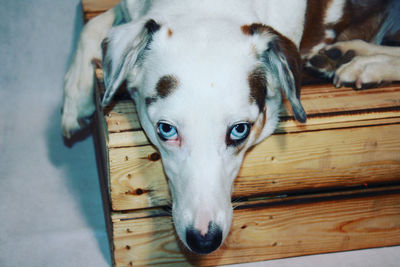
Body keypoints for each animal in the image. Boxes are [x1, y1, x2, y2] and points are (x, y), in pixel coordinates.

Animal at [61, 0, 400, 255]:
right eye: (166, 129)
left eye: (239, 130)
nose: (204, 240)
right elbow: (94, 26)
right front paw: (75, 101)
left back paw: (365, 64)